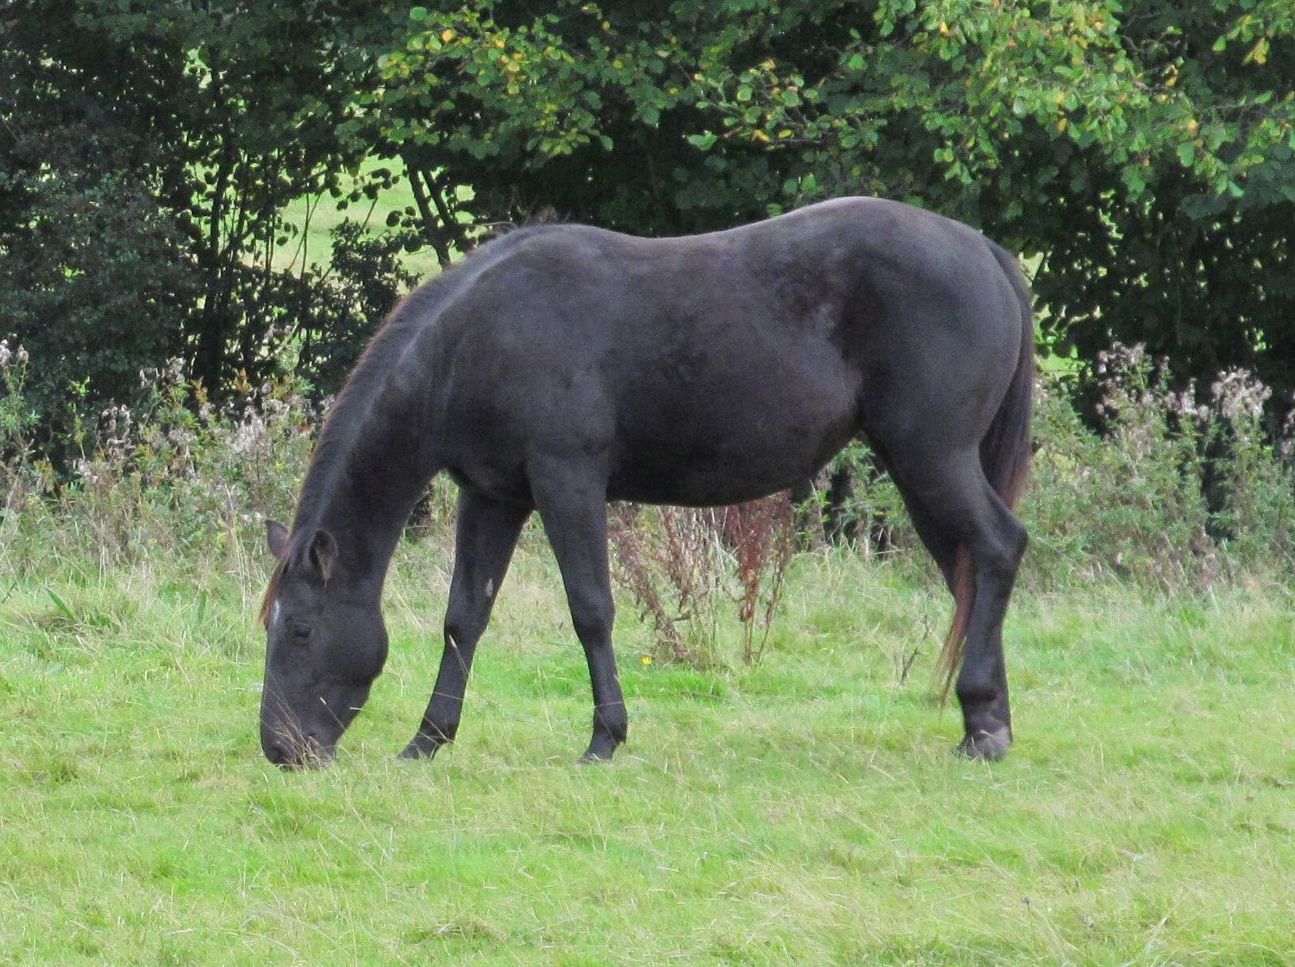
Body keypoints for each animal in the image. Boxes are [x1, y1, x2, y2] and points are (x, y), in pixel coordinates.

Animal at [260, 198, 1030, 771]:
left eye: (300, 627)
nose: (280, 748)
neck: (482, 337)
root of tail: (986, 252)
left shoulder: (566, 481)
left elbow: (591, 610)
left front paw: (604, 738)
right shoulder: (494, 495)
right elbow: (464, 617)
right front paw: (428, 738)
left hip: (933, 458)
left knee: (998, 548)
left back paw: (984, 723)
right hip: (922, 472)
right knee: (969, 572)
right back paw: (983, 721)